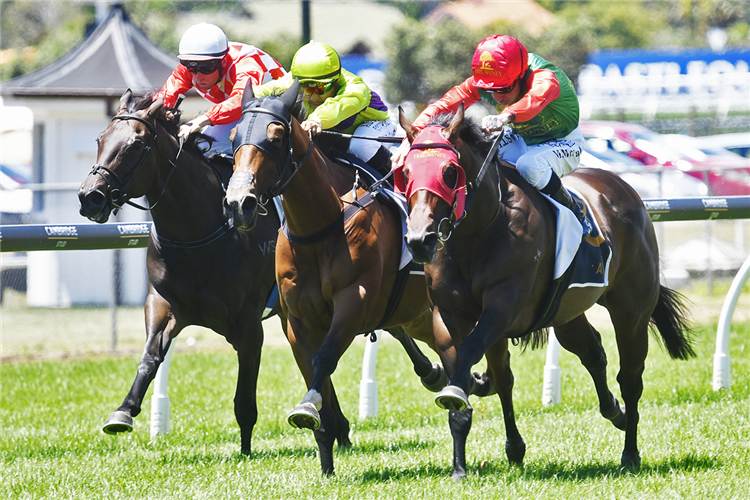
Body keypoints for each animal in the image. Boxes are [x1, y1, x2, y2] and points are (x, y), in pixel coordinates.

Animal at [76, 89, 288, 454]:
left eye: (135, 145)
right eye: (100, 139)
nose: (90, 197)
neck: (196, 233)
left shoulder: (248, 320)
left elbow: (245, 393)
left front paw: (246, 449)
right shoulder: (163, 303)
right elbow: (150, 355)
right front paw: (123, 411)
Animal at [223, 83, 506, 476]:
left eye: (276, 136)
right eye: (234, 136)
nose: (240, 203)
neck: (319, 227)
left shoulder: (354, 300)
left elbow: (324, 358)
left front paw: (307, 409)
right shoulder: (296, 321)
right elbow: (315, 376)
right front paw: (325, 461)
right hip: (418, 313)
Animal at [400, 105, 700, 476]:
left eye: (449, 171)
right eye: (405, 172)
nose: (419, 240)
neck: (476, 233)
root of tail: (625, 190)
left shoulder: (503, 306)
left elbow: (470, 353)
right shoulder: (449, 314)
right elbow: (486, 375)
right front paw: (465, 465)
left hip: (631, 311)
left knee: (630, 376)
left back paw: (630, 453)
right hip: (565, 313)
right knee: (593, 352)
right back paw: (614, 411)